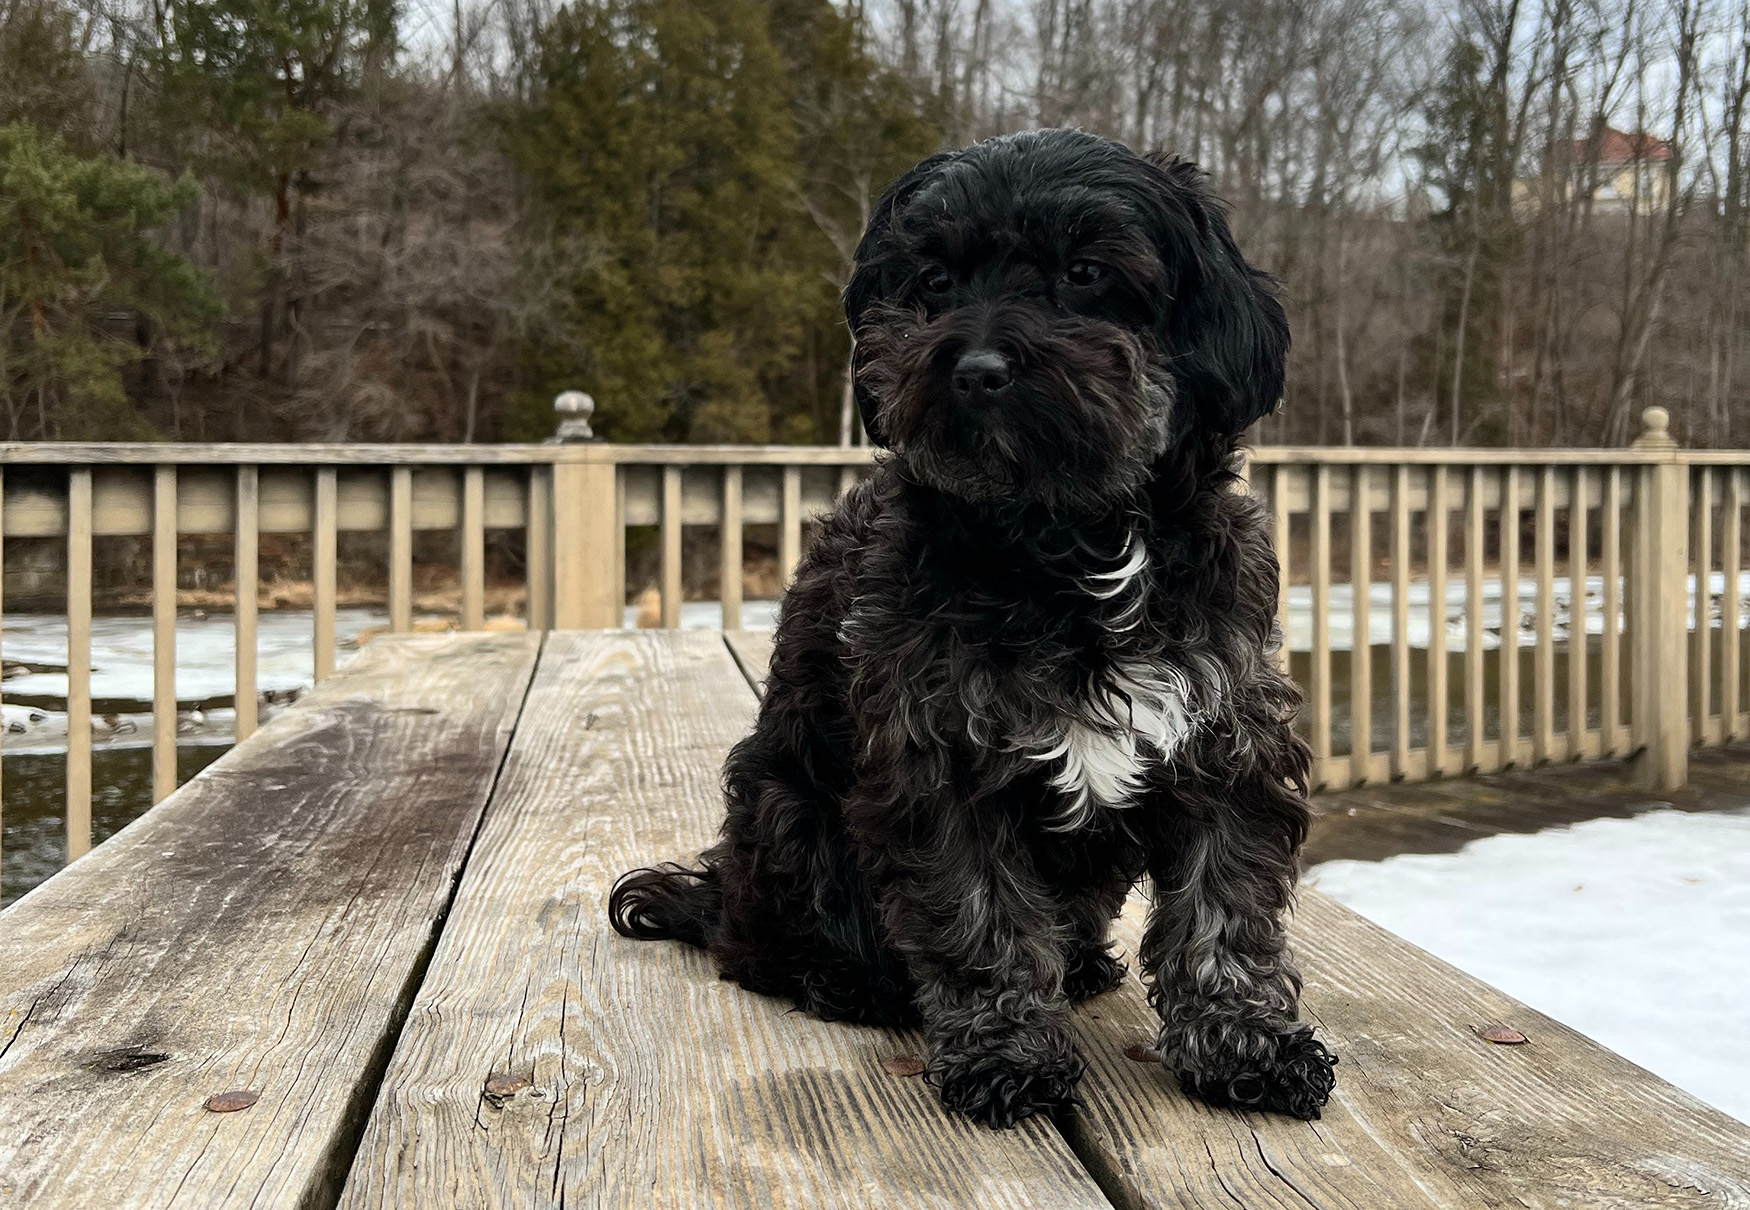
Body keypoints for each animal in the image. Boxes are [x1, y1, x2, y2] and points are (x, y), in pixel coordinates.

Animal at [609, 132, 1330, 1134]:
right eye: (934, 280)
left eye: (1086, 271)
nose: (977, 369)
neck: (1065, 543)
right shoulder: (937, 756)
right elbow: (980, 918)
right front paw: (1005, 1053)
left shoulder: (1227, 739)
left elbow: (1226, 910)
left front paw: (1247, 1043)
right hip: (787, 810)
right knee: (758, 946)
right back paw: (845, 980)